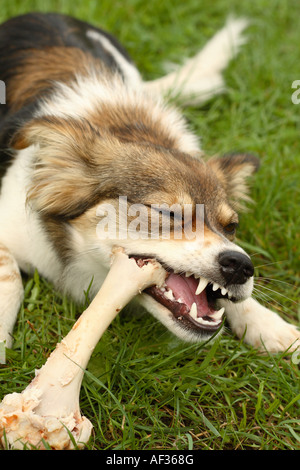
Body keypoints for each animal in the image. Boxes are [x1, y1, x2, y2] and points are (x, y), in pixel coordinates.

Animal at [0, 10, 298, 352]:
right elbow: (9, 277)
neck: (131, 126)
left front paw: (268, 325)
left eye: (231, 226)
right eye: (168, 213)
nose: (240, 265)